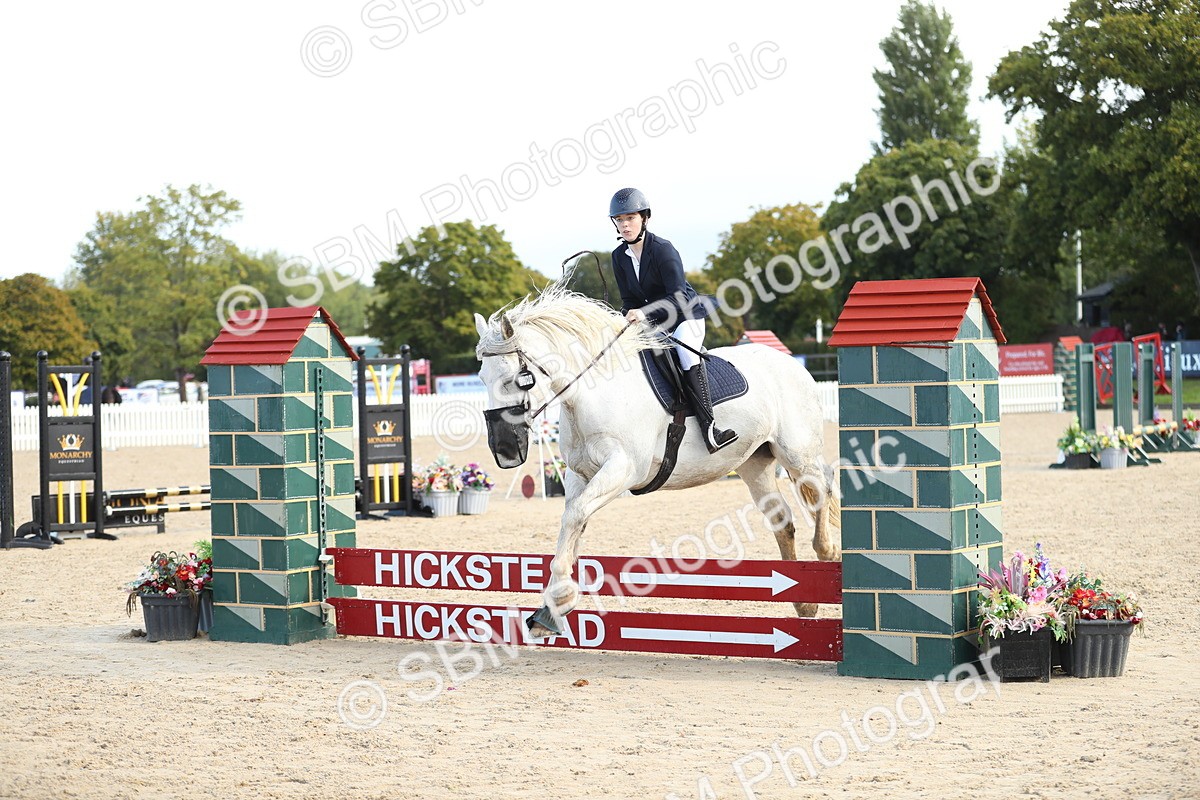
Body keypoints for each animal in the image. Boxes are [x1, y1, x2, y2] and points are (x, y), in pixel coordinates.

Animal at [474, 281, 840, 638]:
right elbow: (574, 522)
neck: (591, 393)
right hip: (754, 464)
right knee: (782, 520)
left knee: (822, 488)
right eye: (481, 379)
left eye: (515, 380)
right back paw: (805, 604)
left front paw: (559, 599)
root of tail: (792, 364)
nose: (505, 449)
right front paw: (552, 607)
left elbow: (575, 515)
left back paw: (827, 552)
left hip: (797, 454)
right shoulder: (580, 475)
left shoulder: (623, 470)